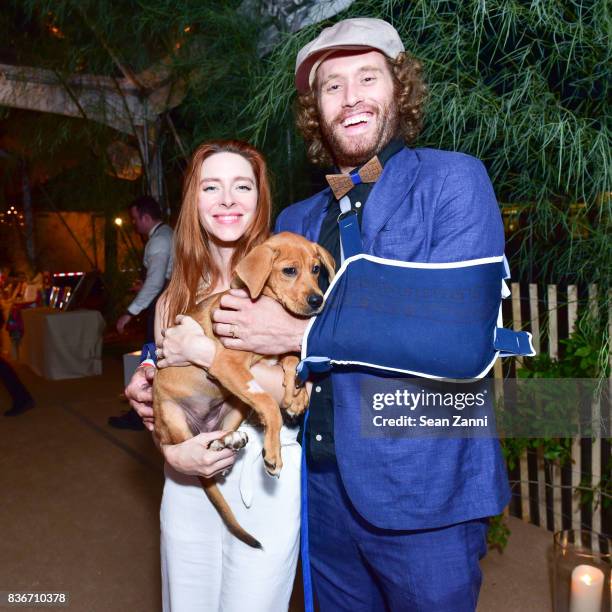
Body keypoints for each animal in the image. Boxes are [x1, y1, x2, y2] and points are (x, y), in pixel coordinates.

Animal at [153, 232, 334, 548]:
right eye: (289, 270)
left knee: (214, 439)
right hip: (173, 417)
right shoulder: (227, 363)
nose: (317, 300)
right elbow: (268, 402)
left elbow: (290, 358)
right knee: (191, 446)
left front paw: (296, 396)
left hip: (235, 409)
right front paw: (273, 452)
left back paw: (227, 442)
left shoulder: (269, 351)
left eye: (315, 269)